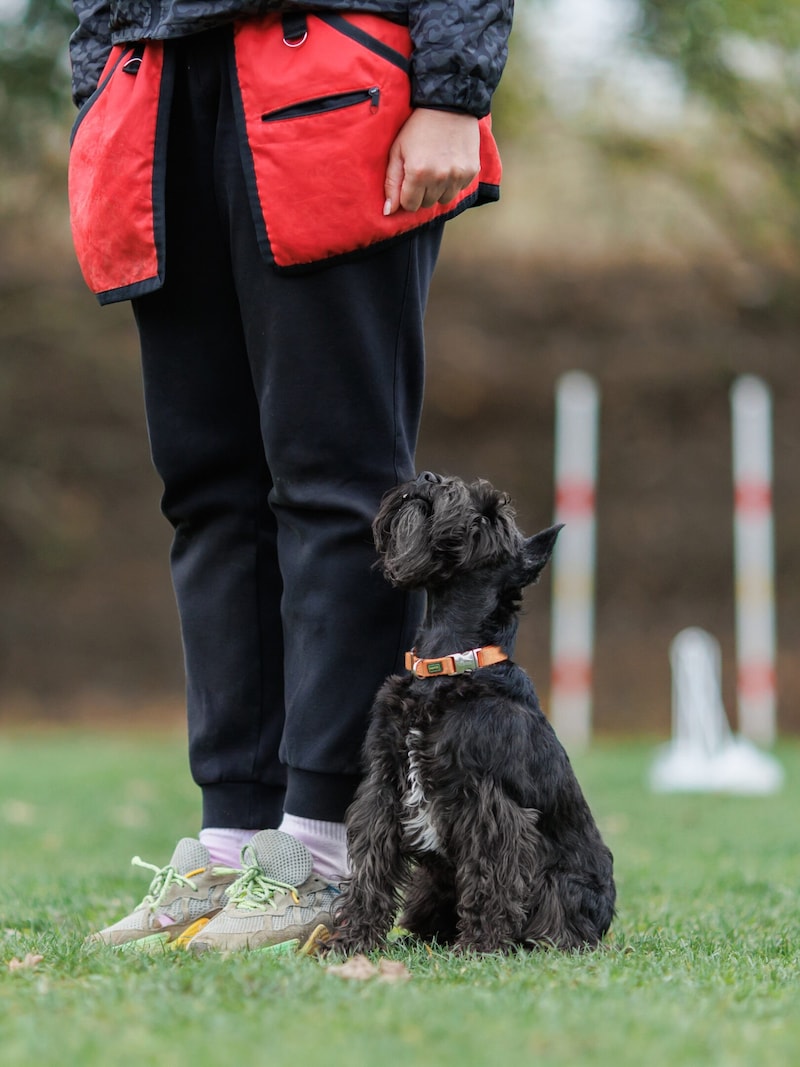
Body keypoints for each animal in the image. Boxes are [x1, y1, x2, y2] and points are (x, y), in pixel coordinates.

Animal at [330, 471, 614, 956]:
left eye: (489, 515)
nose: (429, 478)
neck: (446, 663)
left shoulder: (487, 801)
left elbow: (489, 875)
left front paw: (480, 946)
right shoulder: (383, 788)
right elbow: (371, 870)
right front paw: (352, 940)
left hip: (562, 888)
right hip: (429, 886)